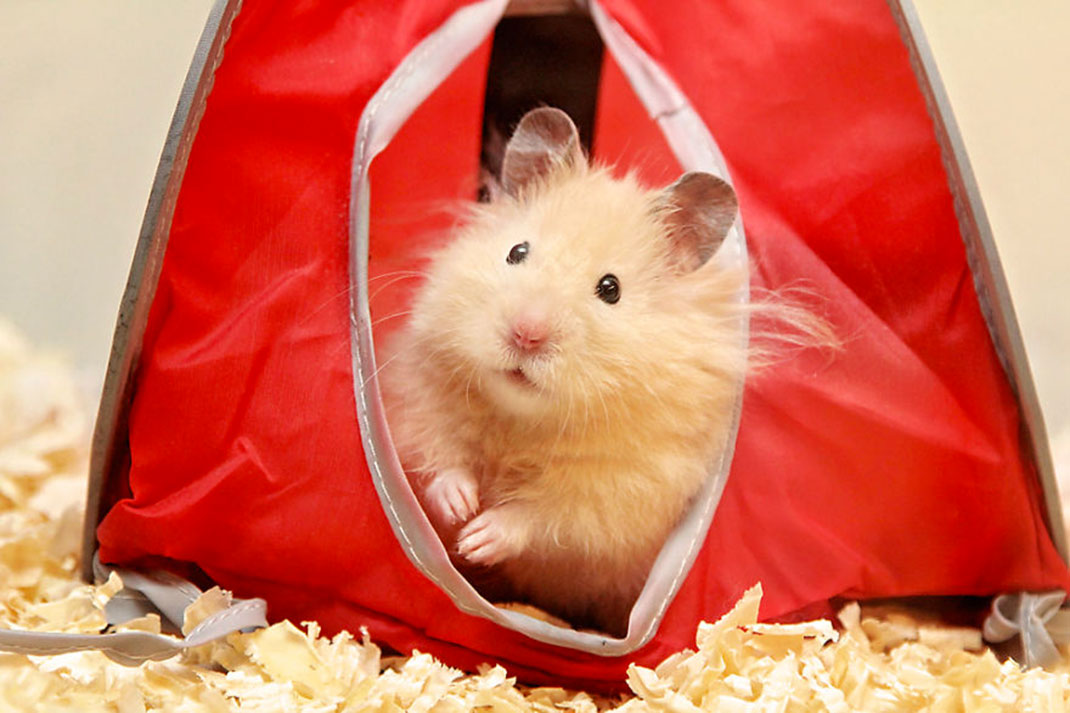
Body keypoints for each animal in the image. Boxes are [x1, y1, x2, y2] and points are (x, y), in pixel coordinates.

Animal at [379, 107, 748, 636]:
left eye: (610, 289)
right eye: (516, 252)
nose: (525, 334)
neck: (521, 420)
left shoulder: (623, 491)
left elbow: (545, 516)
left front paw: (478, 536)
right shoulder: (421, 398)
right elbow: (441, 454)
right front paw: (461, 508)